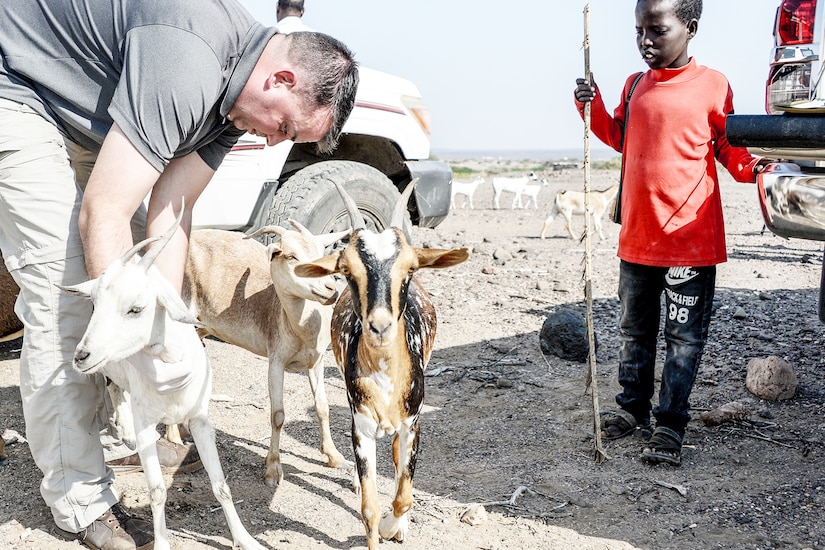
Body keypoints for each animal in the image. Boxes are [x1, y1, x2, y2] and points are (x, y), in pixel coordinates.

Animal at [62, 211, 266, 550]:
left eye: (136, 308)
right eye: (96, 302)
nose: (81, 356)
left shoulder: (200, 420)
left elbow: (221, 484)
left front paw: (245, 539)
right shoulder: (147, 424)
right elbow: (157, 492)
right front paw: (161, 543)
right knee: (113, 386)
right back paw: (125, 429)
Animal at [182, 222, 352, 490]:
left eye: (322, 253)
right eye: (291, 256)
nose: (331, 290)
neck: (300, 330)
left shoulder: (317, 362)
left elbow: (323, 407)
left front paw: (335, 457)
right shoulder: (276, 360)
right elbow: (278, 415)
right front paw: (273, 469)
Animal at [294, 181, 470, 550]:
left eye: (411, 267)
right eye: (346, 270)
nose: (379, 327)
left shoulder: (413, 424)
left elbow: (404, 496)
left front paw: (395, 527)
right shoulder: (361, 427)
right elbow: (369, 508)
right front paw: (381, 525)